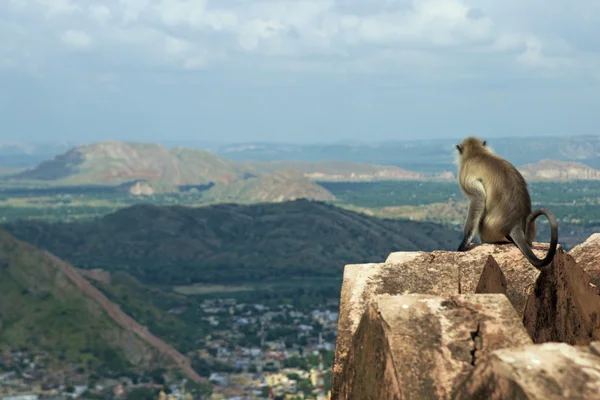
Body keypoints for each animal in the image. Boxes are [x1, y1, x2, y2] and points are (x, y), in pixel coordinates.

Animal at [458, 136, 560, 270]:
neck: (477, 153)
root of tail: (515, 224)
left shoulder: (464, 173)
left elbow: (478, 197)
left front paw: (465, 242)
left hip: (489, 230)